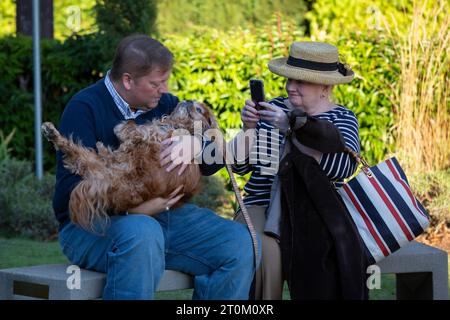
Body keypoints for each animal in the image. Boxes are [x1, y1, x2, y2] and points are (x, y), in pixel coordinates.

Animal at [42, 100, 218, 232]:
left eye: (198, 109)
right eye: (194, 103)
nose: (188, 100)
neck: (178, 125)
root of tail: (110, 180)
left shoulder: (157, 136)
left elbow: (137, 130)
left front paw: (124, 128)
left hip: (102, 170)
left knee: (80, 156)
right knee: (79, 153)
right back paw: (54, 133)